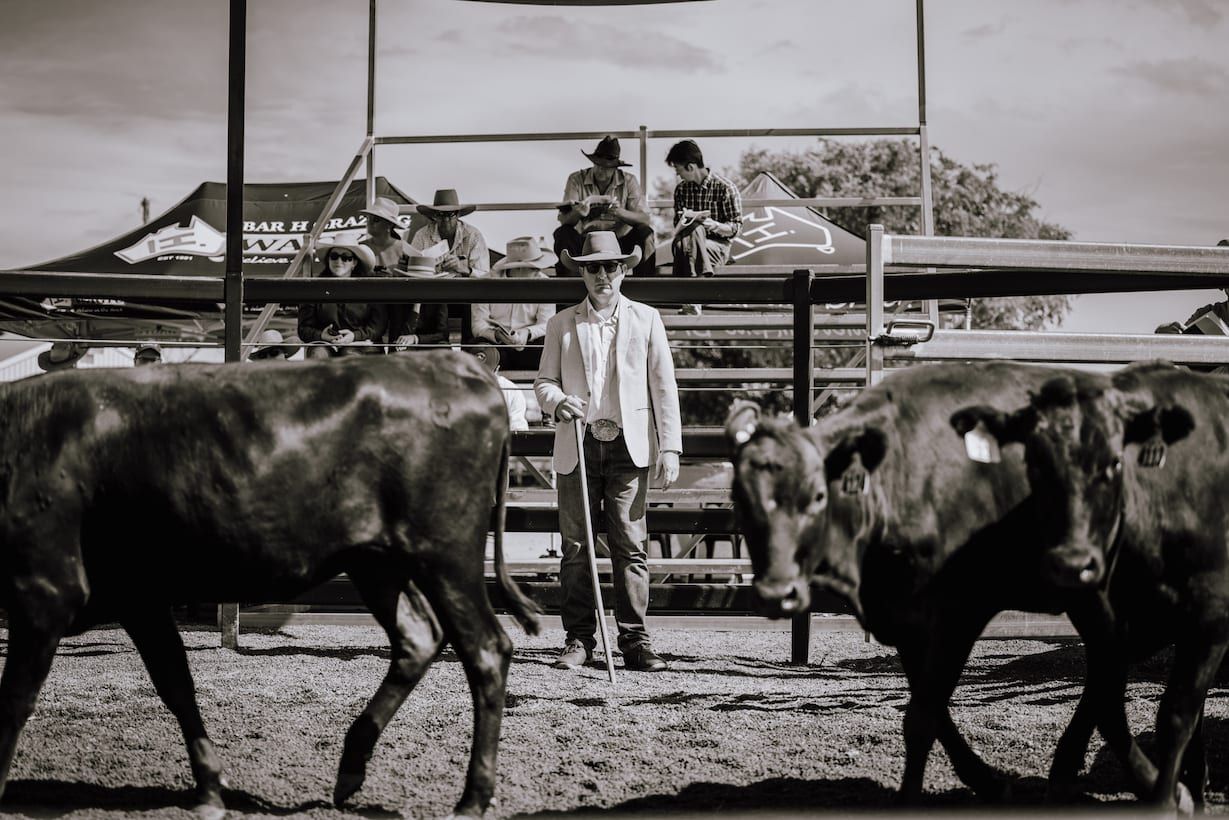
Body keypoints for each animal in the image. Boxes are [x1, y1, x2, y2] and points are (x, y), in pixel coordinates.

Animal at [0, 351, 541, 820]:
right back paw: (351, 769)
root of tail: (456, 364)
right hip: (375, 561)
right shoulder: (139, 596)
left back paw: (472, 798)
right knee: (418, 638)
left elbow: (15, 700)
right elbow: (175, 681)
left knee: (485, 649)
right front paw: (209, 788)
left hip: (445, 554)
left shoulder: (44, 591)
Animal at [727, 361, 1188, 807]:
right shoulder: (905, 621)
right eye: (740, 499)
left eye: (818, 496)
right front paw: (989, 782)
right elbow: (932, 711)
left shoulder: (960, 612)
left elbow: (922, 718)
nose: (776, 594)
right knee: (1108, 687)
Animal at [953, 362, 1225, 809]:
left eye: (1115, 462)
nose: (1071, 563)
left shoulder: (1209, 622)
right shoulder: (1106, 627)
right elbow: (1108, 706)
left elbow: (1175, 714)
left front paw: (1168, 797)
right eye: (1033, 463)